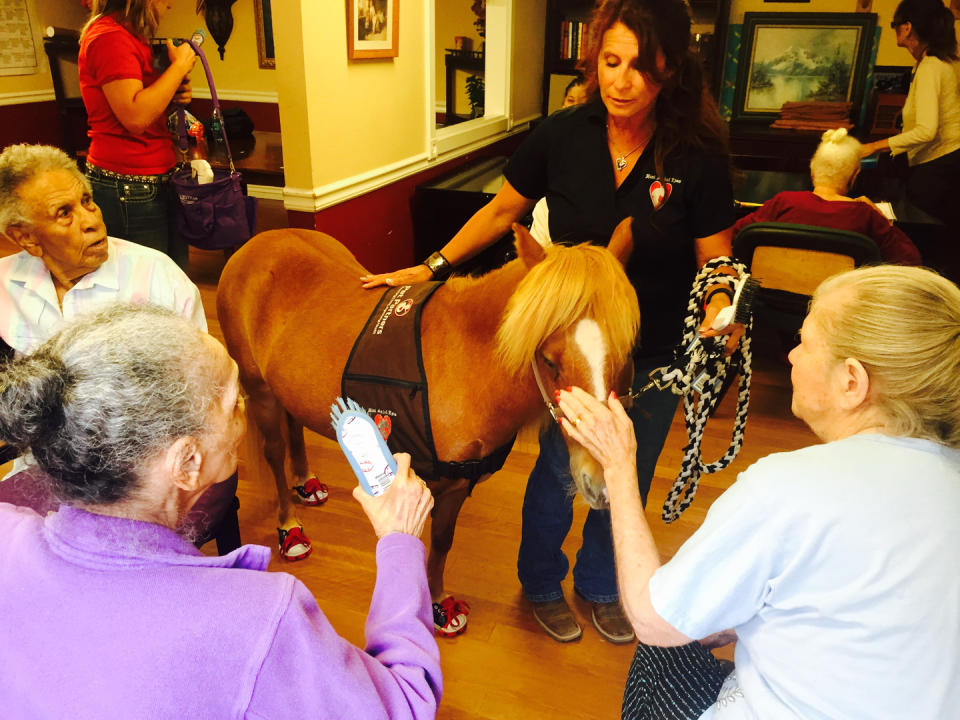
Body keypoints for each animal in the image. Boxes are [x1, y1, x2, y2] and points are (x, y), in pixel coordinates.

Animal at [215, 221, 640, 636]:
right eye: (550, 361)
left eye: (625, 356)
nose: (602, 481)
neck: (466, 357)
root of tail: (255, 244)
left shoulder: (456, 487)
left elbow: (441, 543)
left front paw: (437, 602)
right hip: (261, 391)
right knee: (274, 453)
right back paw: (289, 527)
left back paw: (306, 481)